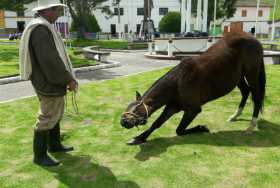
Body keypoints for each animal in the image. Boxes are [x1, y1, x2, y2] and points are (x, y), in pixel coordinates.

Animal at [120, 31, 264, 145]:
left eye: (136, 109)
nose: (123, 122)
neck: (178, 82)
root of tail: (254, 39)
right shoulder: (173, 106)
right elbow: (157, 123)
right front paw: (139, 138)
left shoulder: (193, 109)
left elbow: (179, 130)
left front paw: (201, 128)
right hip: (239, 77)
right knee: (246, 92)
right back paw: (235, 116)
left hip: (251, 73)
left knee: (256, 96)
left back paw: (251, 126)